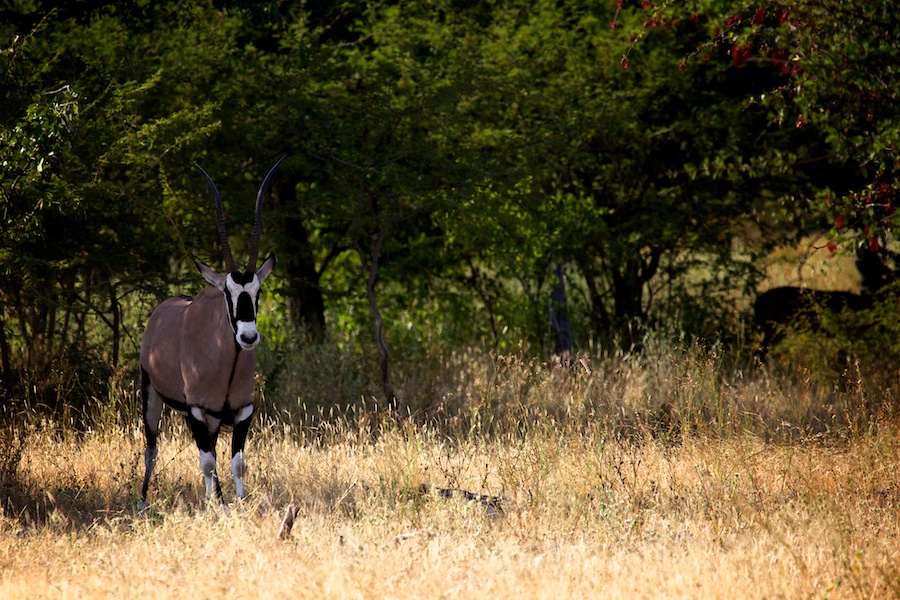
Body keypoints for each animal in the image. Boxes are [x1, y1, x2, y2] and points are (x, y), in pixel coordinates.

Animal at [138, 157, 282, 504]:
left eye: (257, 292)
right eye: (228, 293)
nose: (248, 337)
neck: (225, 364)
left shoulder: (243, 410)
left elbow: (236, 463)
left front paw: (238, 503)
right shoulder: (196, 411)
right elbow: (206, 462)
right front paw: (215, 505)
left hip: (213, 420)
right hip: (152, 395)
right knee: (152, 449)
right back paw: (143, 500)